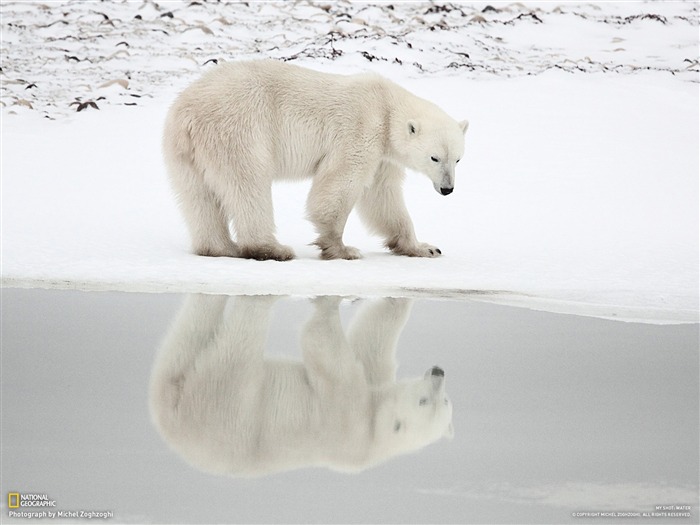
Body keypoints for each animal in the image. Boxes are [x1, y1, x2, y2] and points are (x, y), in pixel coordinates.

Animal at [149, 294, 454, 474]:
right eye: (431, 400)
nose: (438, 372)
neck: (375, 438)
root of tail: (174, 424)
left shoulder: (349, 421)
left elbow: (323, 348)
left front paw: (327, 305)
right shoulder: (370, 389)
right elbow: (370, 341)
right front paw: (398, 299)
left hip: (232, 411)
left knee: (237, 346)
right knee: (183, 345)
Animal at [163, 59, 468, 260]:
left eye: (458, 159)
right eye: (434, 157)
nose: (447, 189)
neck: (386, 105)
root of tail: (188, 114)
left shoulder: (383, 154)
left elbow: (382, 197)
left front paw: (424, 247)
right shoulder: (361, 128)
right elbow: (341, 182)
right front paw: (342, 249)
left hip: (183, 152)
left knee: (198, 196)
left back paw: (219, 248)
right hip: (238, 128)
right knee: (248, 185)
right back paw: (271, 249)